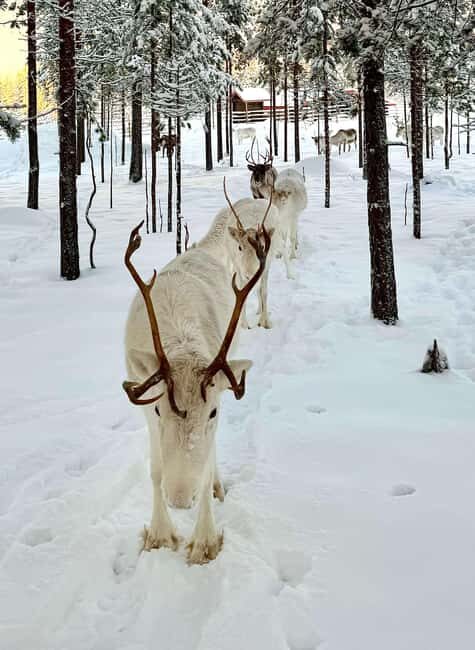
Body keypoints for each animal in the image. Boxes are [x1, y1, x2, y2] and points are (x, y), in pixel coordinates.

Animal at [123, 204, 272, 564]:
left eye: (213, 412)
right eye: (159, 411)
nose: (179, 500)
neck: (182, 344)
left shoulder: (221, 396)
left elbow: (204, 472)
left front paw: (204, 543)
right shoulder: (146, 410)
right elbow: (155, 471)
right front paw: (160, 535)